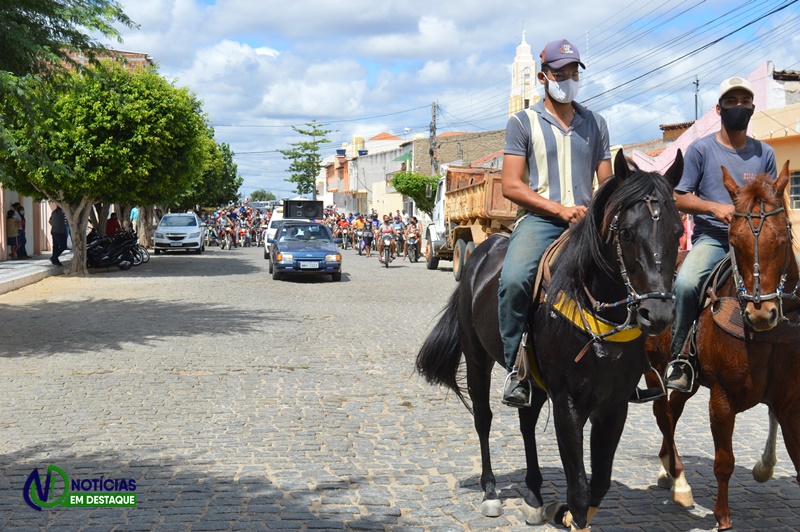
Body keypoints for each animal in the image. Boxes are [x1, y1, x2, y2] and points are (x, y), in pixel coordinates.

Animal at [416, 152, 684, 528]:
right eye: (627, 232)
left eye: (678, 231)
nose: (657, 313)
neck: (599, 318)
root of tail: (480, 255)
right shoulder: (567, 401)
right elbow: (580, 488)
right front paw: (570, 513)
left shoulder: (615, 404)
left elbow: (599, 482)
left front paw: (564, 512)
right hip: (477, 358)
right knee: (483, 418)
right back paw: (490, 491)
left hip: (532, 378)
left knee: (526, 421)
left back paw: (533, 494)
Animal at [644, 160, 800, 528]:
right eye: (733, 241)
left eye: (782, 238)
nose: (762, 313)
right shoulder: (722, 398)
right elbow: (724, 461)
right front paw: (723, 516)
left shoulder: (789, 402)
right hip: (653, 366)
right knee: (663, 413)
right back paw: (680, 482)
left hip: (687, 381)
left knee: (672, 410)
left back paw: (668, 470)